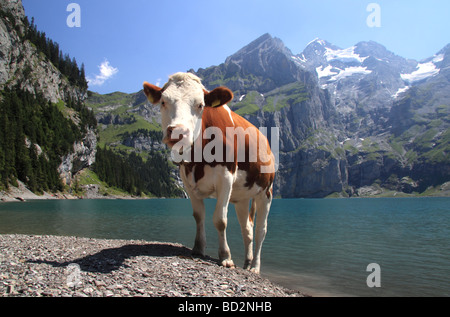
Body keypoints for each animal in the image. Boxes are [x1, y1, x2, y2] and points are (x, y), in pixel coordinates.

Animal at [142, 71, 274, 272]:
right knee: (247, 229)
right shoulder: (187, 181)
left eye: (200, 105)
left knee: (261, 230)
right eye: (163, 102)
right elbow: (198, 216)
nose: (177, 132)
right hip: (242, 197)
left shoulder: (226, 177)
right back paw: (247, 262)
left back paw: (255, 267)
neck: (197, 159)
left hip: (266, 191)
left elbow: (220, 220)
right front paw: (198, 248)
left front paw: (225, 257)